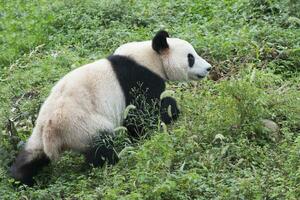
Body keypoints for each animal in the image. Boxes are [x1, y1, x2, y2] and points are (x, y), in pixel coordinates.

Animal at [9, 30, 211, 185]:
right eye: (191, 57)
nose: (208, 68)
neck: (150, 57)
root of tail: (51, 132)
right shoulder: (138, 78)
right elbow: (143, 113)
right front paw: (170, 112)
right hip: (82, 124)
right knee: (101, 145)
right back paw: (111, 162)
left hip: (38, 134)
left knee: (30, 157)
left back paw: (21, 179)